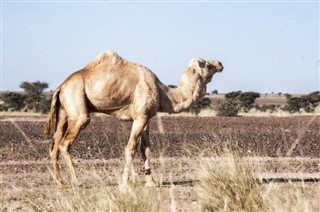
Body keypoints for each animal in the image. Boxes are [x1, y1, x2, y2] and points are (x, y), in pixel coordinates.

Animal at [43, 50, 224, 188]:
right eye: (207, 65)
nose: (220, 63)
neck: (163, 93)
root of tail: (60, 86)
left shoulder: (145, 117)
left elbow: (145, 148)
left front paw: (151, 182)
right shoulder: (140, 117)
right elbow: (130, 148)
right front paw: (125, 182)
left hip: (64, 112)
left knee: (54, 143)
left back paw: (60, 183)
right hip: (78, 109)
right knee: (65, 144)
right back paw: (77, 182)